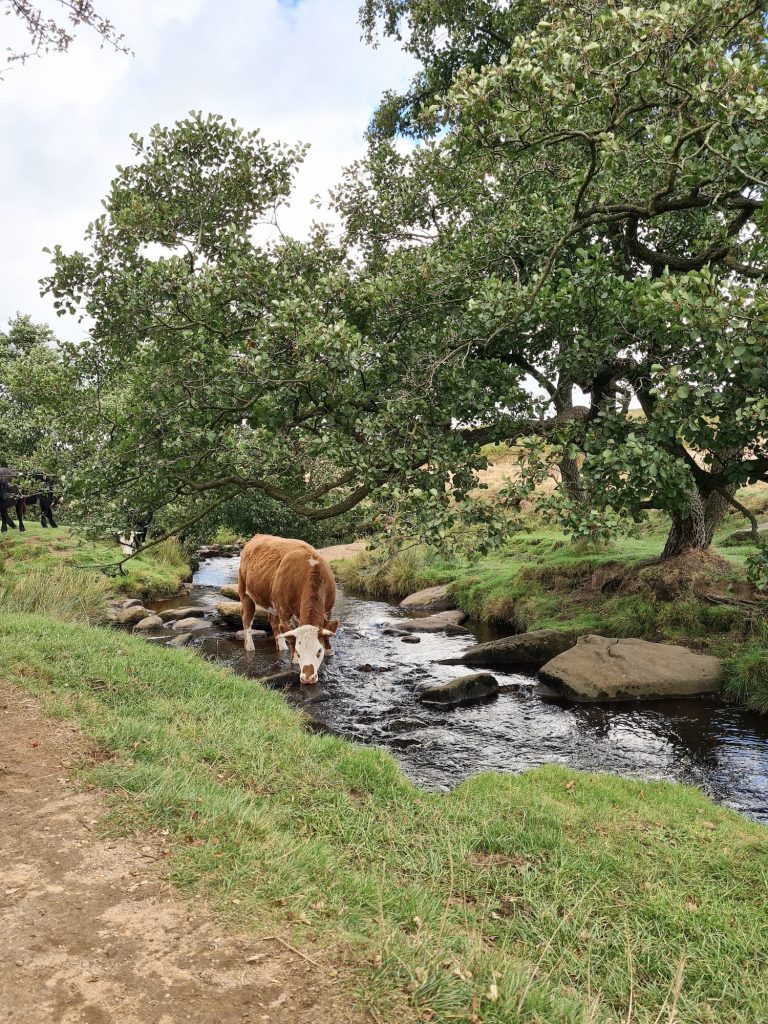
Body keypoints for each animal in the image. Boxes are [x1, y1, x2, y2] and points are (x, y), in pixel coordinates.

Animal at [239, 532, 337, 684]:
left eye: (318, 651)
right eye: (299, 652)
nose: (307, 678)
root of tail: (257, 536)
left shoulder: (328, 610)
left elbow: (327, 630)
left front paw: (329, 651)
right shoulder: (285, 612)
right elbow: (291, 638)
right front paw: (295, 660)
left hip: (273, 603)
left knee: (274, 621)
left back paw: (282, 647)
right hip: (245, 592)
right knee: (247, 619)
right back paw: (250, 647)